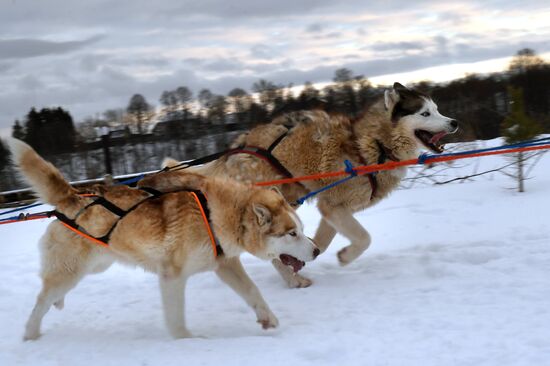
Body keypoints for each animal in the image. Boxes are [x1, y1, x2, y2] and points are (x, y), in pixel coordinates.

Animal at [7, 138, 320, 340]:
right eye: (291, 233)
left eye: (301, 228)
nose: (316, 250)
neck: (213, 211)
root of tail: (72, 196)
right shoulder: (172, 275)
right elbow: (176, 316)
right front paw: (185, 340)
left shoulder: (225, 264)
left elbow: (253, 292)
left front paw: (268, 318)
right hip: (72, 270)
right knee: (41, 300)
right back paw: (30, 334)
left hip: (96, 264)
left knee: (53, 292)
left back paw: (55, 305)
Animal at [182, 83, 462, 288]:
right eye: (424, 113)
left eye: (437, 109)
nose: (454, 122)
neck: (371, 145)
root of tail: (232, 152)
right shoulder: (334, 206)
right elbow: (364, 238)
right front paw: (345, 256)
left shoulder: (332, 209)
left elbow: (322, 241)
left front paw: (307, 252)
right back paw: (293, 279)